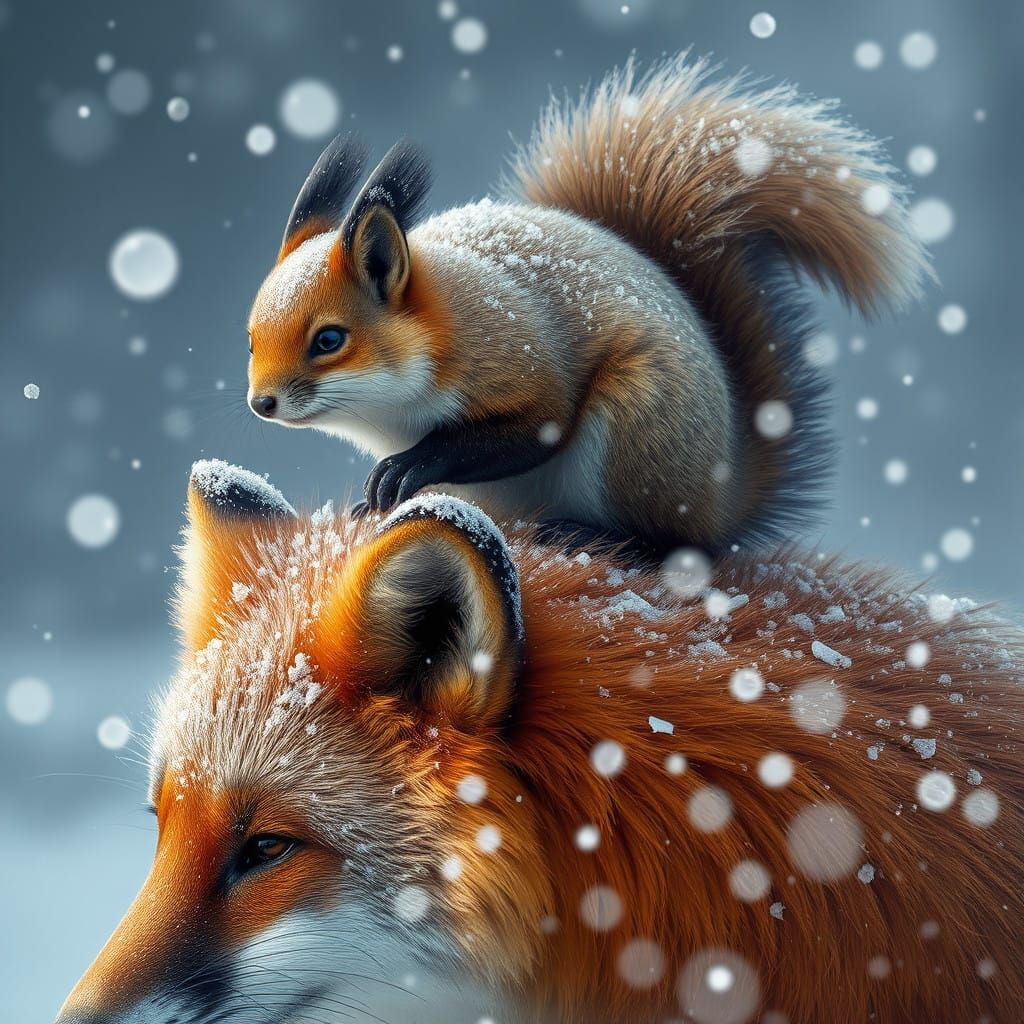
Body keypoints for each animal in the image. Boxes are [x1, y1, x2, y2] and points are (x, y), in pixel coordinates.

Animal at [245, 54, 929, 555]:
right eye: (250, 338)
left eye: (330, 339)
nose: (261, 404)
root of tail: (725, 492)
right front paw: (373, 496)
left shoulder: (517, 365)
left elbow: (527, 431)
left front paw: (402, 470)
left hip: (633, 428)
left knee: (677, 545)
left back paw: (588, 532)